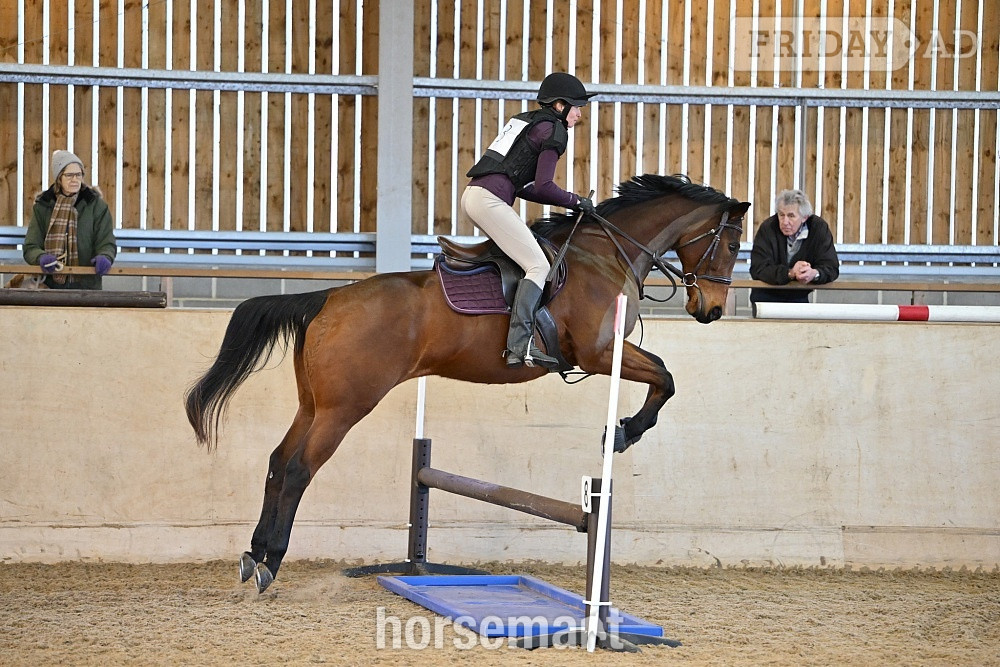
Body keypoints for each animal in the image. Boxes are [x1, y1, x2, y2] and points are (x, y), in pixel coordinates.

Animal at [185, 174, 750, 593]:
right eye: (731, 243)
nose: (711, 310)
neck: (605, 253)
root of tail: (327, 298)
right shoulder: (599, 354)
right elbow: (666, 376)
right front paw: (624, 432)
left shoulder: (603, 355)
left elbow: (664, 375)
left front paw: (623, 430)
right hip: (344, 408)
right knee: (299, 469)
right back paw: (271, 563)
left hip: (313, 405)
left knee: (279, 462)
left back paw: (254, 554)